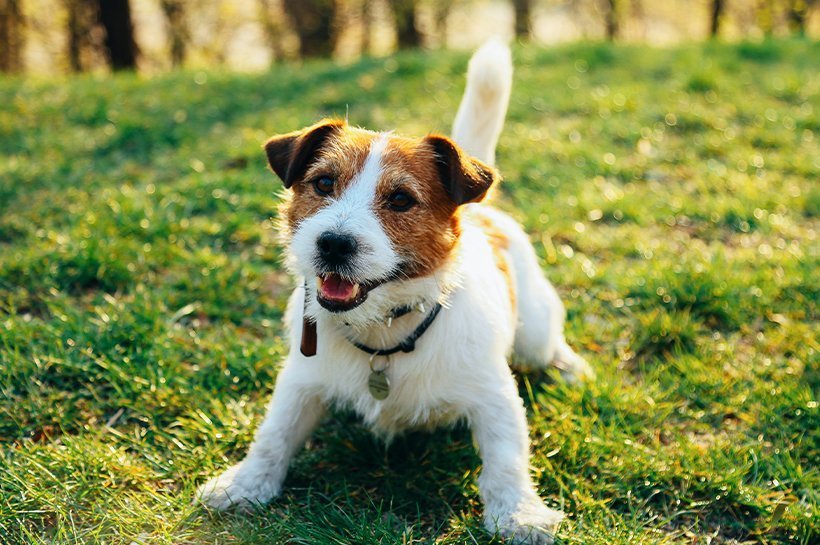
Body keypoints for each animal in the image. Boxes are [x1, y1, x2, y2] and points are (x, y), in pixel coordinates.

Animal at [199, 39, 596, 544]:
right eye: (323, 183)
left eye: (401, 199)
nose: (333, 244)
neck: (383, 330)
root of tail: (484, 210)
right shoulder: (300, 381)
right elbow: (274, 434)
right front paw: (244, 485)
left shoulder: (493, 396)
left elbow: (506, 460)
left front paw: (519, 515)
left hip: (534, 334)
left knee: (549, 346)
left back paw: (572, 369)